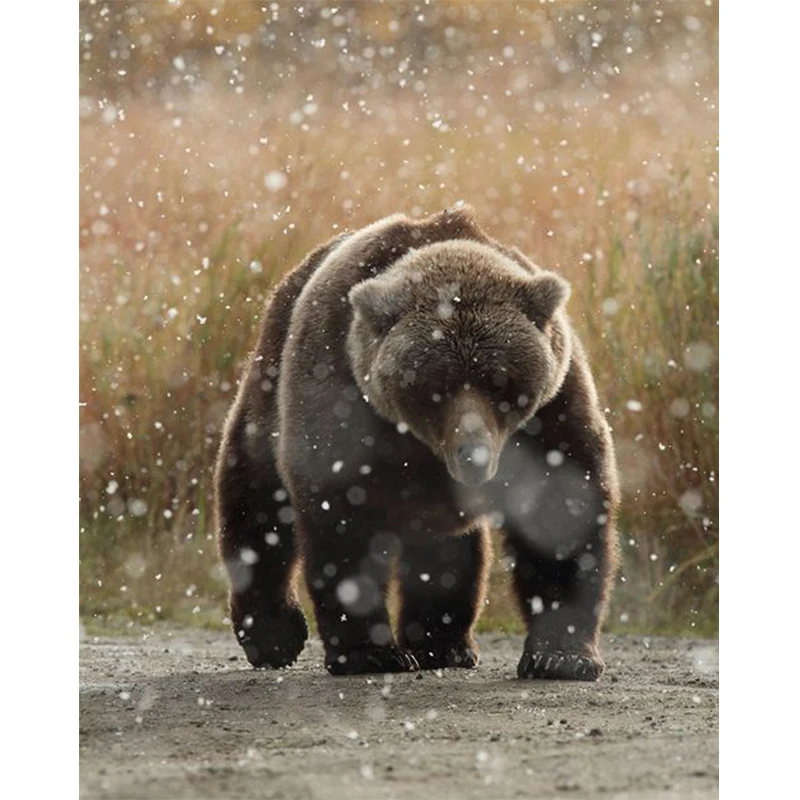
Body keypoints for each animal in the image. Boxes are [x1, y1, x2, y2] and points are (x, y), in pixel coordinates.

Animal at [214, 206, 620, 680]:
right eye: (436, 386)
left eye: (499, 380)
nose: (474, 455)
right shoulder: (339, 395)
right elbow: (342, 523)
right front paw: (369, 652)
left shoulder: (551, 411)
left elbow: (562, 514)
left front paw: (561, 656)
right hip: (271, 375)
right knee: (255, 495)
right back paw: (274, 635)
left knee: (447, 550)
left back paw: (443, 644)